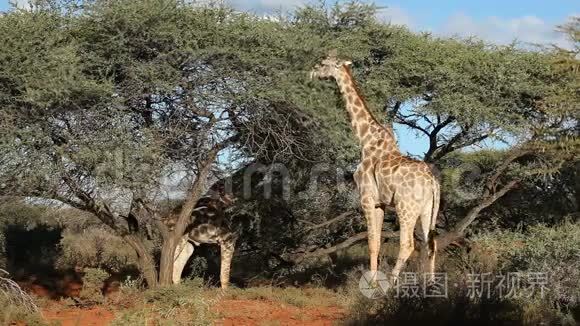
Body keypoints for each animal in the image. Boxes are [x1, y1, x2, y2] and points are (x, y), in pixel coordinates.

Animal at [308, 52, 440, 284]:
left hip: (406, 207)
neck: (365, 140)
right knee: (430, 242)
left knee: (408, 244)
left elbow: (372, 242)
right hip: (427, 209)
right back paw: (430, 284)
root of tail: (433, 182)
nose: (311, 72)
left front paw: (372, 282)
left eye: (323, 63)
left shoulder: (367, 198)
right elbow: (376, 243)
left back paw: (393, 284)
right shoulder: (381, 203)